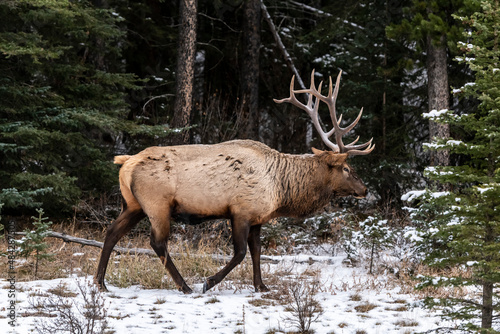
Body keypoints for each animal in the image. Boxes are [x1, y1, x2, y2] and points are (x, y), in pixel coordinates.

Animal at [95, 70, 374, 292]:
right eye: (347, 168)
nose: (364, 189)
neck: (281, 190)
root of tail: (125, 163)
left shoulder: (258, 217)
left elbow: (257, 251)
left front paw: (261, 286)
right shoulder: (240, 211)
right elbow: (240, 253)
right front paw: (208, 282)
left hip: (133, 205)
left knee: (111, 232)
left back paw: (101, 282)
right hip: (157, 204)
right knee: (157, 242)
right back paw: (185, 286)